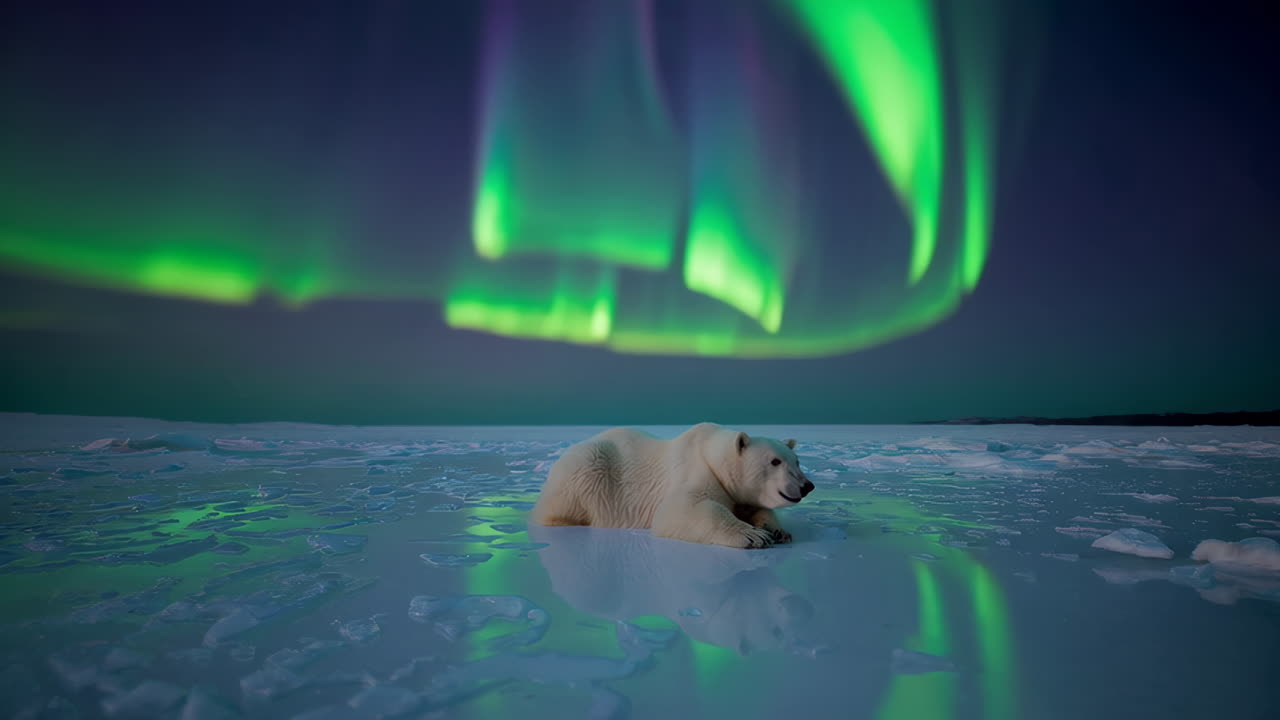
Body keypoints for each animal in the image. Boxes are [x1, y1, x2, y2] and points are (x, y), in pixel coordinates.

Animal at [530, 422, 814, 548]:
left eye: (797, 460)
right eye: (775, 461)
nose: (807, 485)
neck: (711, 453)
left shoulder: (737, 493)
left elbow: (755, 508)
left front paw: (777, 531)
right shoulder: (695, 471)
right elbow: (681, 510)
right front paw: (753, 536)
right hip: (587, 470)